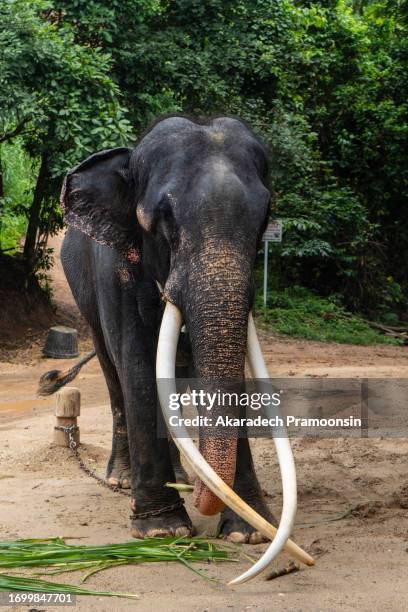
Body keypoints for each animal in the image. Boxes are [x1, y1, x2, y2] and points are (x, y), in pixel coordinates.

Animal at [39, 115, 300, 584]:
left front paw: (247, 532)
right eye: (163, 218)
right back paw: (123, 481)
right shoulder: (115, 271)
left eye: (263, 219)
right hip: (84, 300)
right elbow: (138, 368)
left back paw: (180, 476)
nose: (203, 499)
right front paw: (162, 530)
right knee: (114, 375)